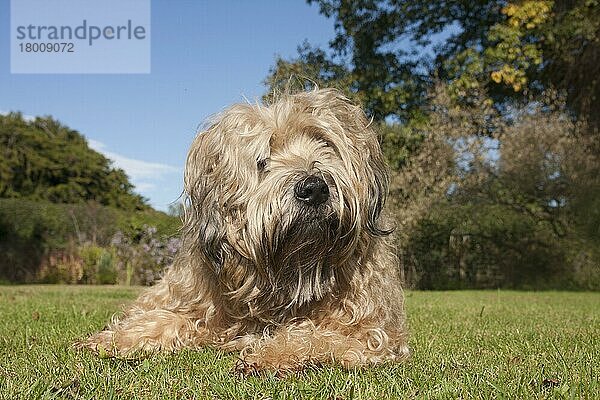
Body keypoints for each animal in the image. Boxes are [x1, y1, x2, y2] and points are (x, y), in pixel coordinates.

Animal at [79, 87, 408, 372]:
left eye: (325, 143)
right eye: (263, 160)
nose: (314, 188)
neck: (288, 271)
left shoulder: (374, 335)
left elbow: (316, 334)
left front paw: (272, 352)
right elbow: (171, 318)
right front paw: (117, 337)